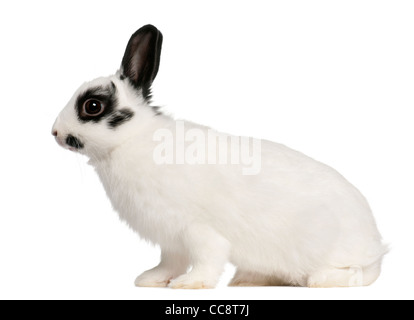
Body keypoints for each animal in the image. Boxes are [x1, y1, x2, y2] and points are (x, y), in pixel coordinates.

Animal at [52, 25, 388, 288]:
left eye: (92, 106)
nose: (54, 132)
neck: (131, 140)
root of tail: (374, 238)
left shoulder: (198, 229)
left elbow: (207, 258)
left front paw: (189, 284)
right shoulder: (170, 238)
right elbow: (169, 262)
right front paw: (150, 279)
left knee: (365, 273)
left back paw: (322, 280)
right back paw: (249, 279)